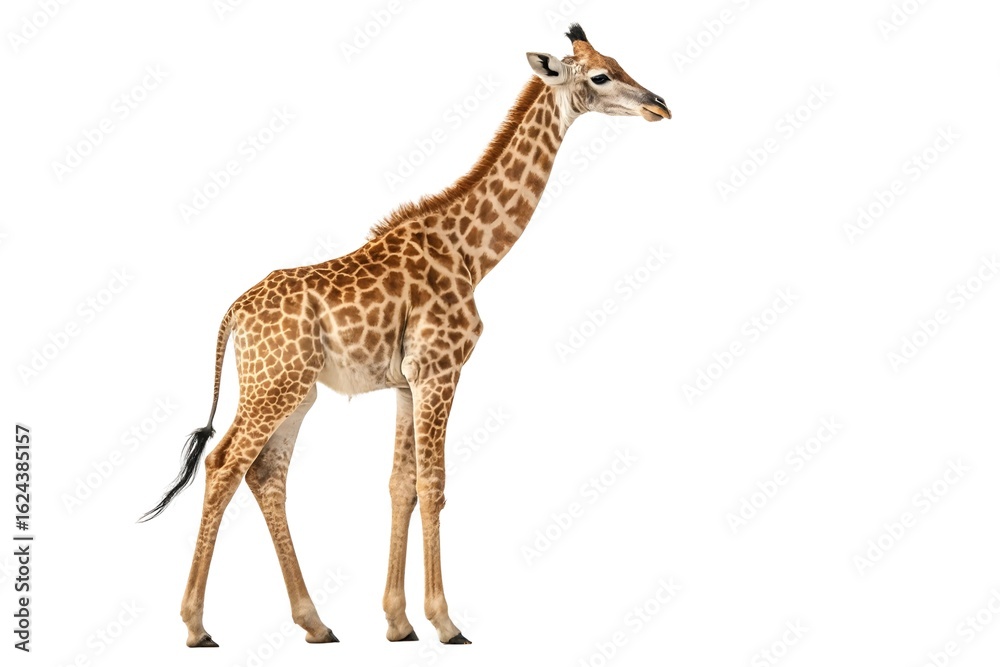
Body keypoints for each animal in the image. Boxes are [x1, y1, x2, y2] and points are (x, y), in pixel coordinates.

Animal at [141, 23, 670, 648]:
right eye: (601, 76)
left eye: (617, 61)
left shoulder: (404, 382)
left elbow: (402, 485)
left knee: (266, 475)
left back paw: (315, 623)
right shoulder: (441, 368)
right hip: (275, 385)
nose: (659, 105)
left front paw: (398, 622)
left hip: (297, 392)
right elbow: (434, 483)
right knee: (223, 466)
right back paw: (197, 626)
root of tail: (231, 316)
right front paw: (446, 622)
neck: (471, 252)